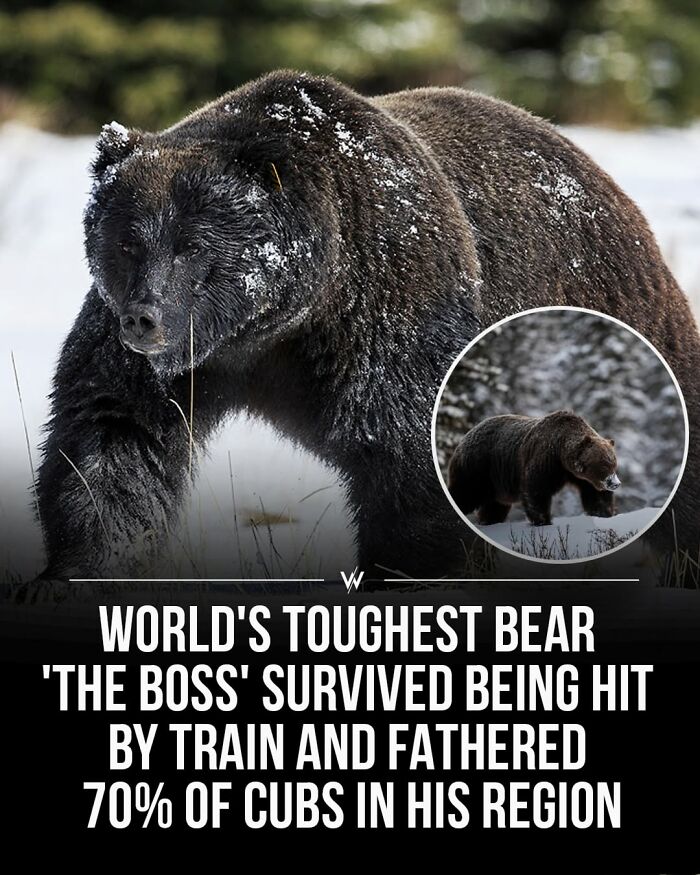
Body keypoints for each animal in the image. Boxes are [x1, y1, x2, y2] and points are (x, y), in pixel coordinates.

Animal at [447, 411, 620, 528]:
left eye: (614, 463)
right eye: (603, 464)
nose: (615, 483)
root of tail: (464, 438)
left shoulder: (580, 477)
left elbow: (596, 495)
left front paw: (604, 513)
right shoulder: (546, 459)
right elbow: (536, 489)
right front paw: (543, 521)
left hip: (496, 483)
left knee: (494, 506)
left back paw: (488, 521)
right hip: (479, 467)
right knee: (465, 492)